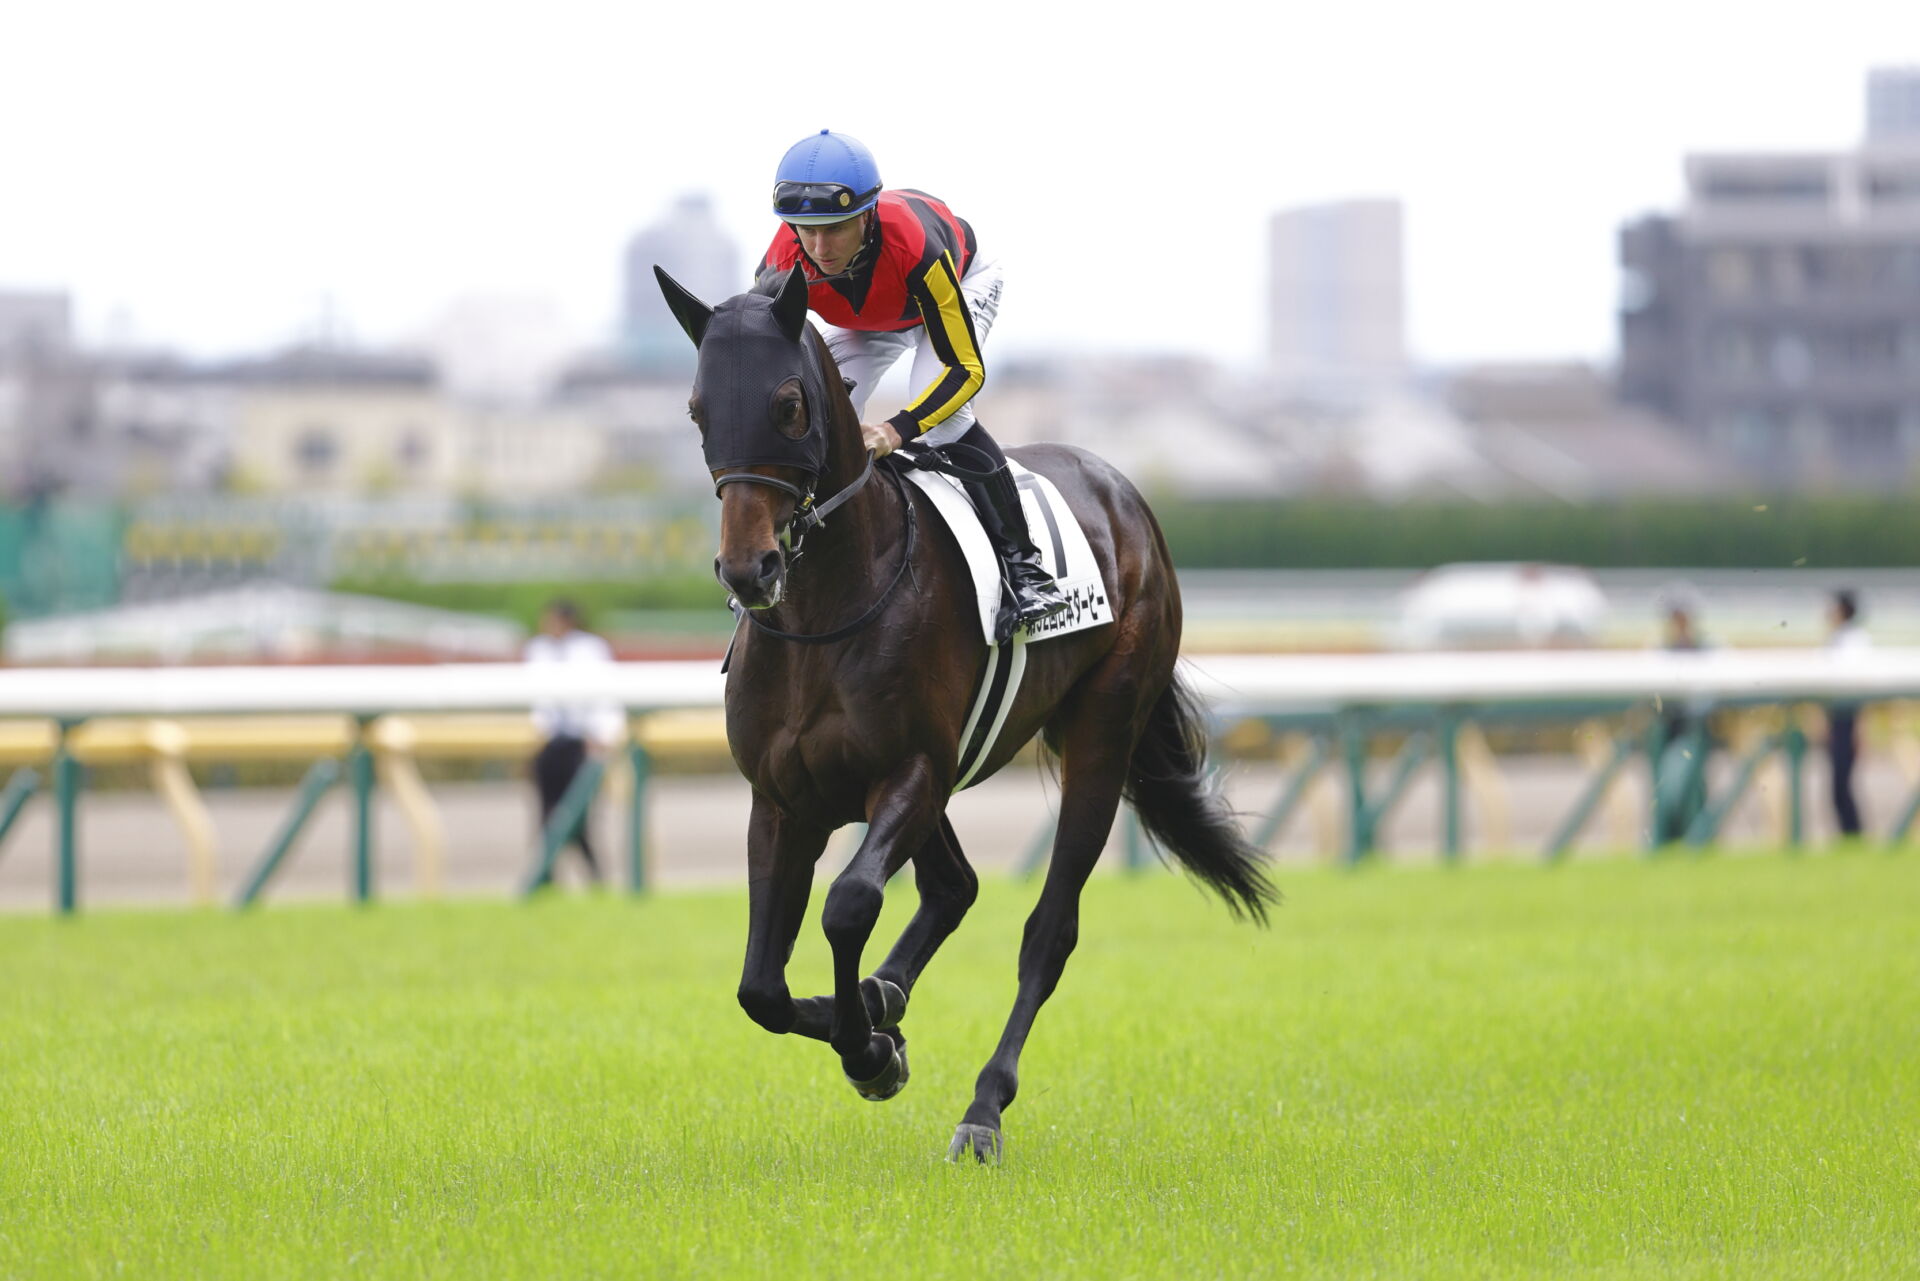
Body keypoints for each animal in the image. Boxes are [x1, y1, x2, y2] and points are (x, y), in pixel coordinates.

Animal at [654, 263, 1277, 1163]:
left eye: (788, 404)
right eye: (699, 410)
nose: (749, 569)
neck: (824, 610)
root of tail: (1123, 495)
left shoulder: (910, 770)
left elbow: (849, 904)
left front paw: (871, 1049)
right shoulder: (783, 798)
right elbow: (760, 988)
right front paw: (871, 1024)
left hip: (1101, 730)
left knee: (1049, 930)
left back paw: (983, 1107)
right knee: (955, 886)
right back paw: (883, 995)